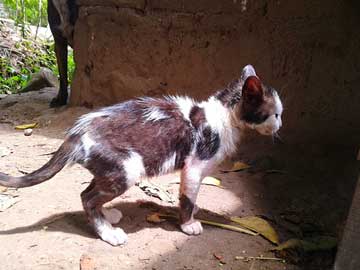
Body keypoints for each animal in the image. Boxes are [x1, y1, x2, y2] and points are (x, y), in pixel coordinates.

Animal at [0, 64, 282, 246]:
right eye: (276, 113)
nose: (280, 125)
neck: (224, 116)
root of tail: (77, 132)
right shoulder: (194, 167)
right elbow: (187, 198)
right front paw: (188, 223)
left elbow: (191, 197)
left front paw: (194, 211)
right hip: (127, 168)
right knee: (87, 198)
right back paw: (109, 233)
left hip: (111, 167)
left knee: (88, 192)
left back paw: (108, 217)